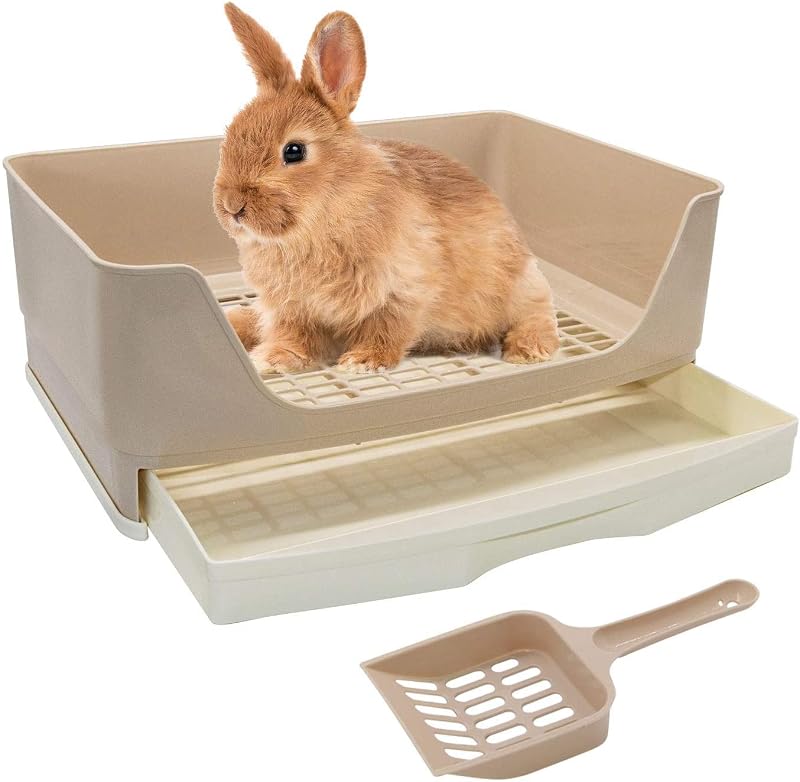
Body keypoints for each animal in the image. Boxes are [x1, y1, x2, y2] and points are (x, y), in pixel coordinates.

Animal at [215, 4, 560, 374]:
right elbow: (294, 336)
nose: (232, 206)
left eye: (294, 151)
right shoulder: (293, 308)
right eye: (230, 135)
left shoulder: (403, 291)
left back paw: (528, 350)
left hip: (520, 288)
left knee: (537, 314)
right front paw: (275, 359)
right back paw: (234, 321)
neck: (326, 211)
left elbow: (388, 329)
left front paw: (362, 362)